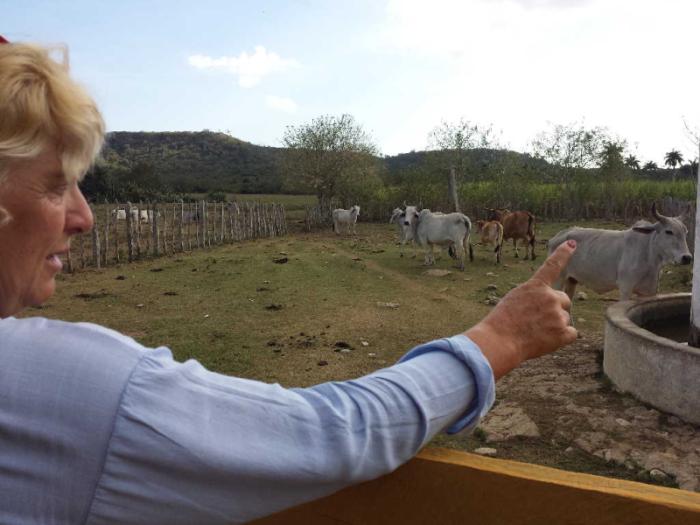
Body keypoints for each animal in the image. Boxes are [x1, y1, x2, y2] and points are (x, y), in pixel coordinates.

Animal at [548, 202, 696, 298]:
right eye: (668, 231)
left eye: (686, 232)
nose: (687, 257)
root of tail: (560, 235)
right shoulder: (626, 288)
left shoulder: (649, 292)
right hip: (558, 279)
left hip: (572, 280)